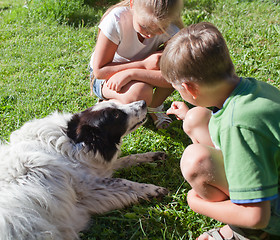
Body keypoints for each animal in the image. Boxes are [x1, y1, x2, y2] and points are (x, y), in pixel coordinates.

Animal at [0, 100, 167, 240]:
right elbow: (124, 182)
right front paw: (154, 189)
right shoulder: (90, 188)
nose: (144, 102)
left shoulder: (97, 168)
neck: (72, 142)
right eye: (115, 115)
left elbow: (128, 159)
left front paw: (154, 156)